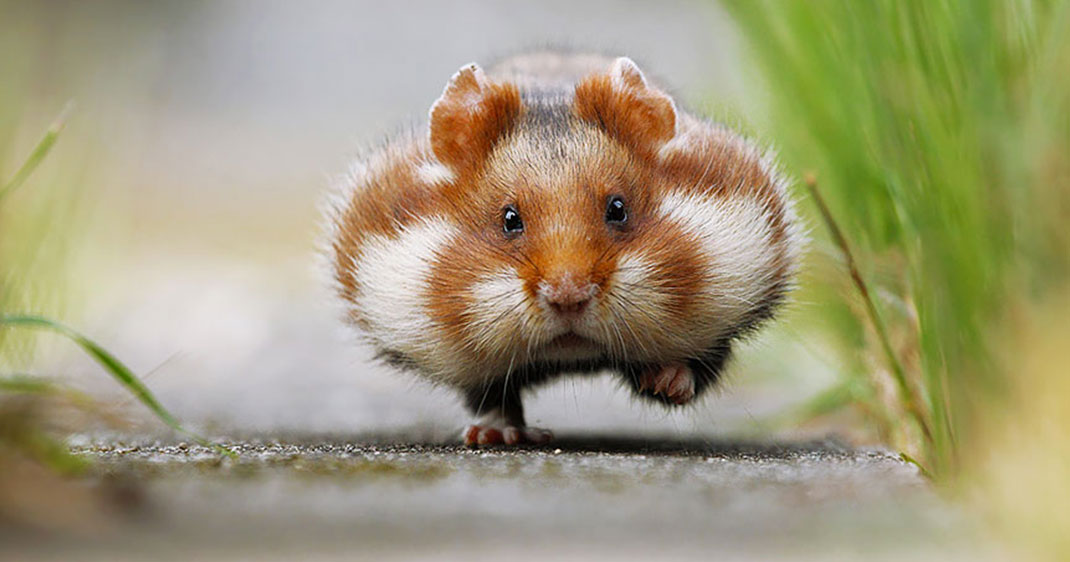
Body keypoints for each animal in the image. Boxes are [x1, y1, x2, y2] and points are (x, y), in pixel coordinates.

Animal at [324, 52, 801, 446]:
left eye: (618, 209)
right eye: (509, 219)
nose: (568, 297)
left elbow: (696, 367)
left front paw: (665, 382)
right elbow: (490, 394)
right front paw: (495, 435)